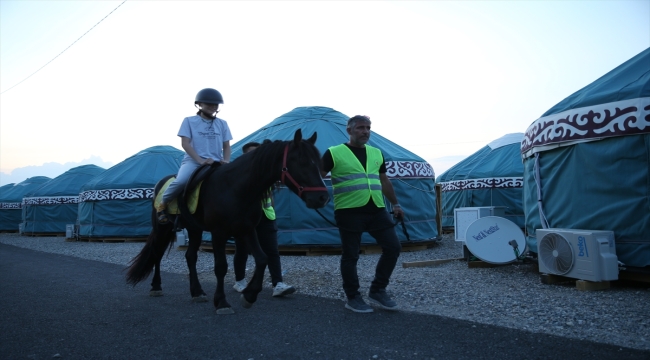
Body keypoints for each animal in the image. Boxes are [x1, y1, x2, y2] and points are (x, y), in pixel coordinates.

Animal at [126, 129, 330, 312]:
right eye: (302, 162)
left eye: (320, 163)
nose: (322, 198)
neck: (236, 188)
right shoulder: (219, 233)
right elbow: (221, 267)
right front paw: (222, 302)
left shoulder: (247, 230)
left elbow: (262, 258)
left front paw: (249, 295)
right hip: (162, 228)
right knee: (157, 254)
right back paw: (156, 286)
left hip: (194, 229)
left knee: (190, 256)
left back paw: (197, 292)